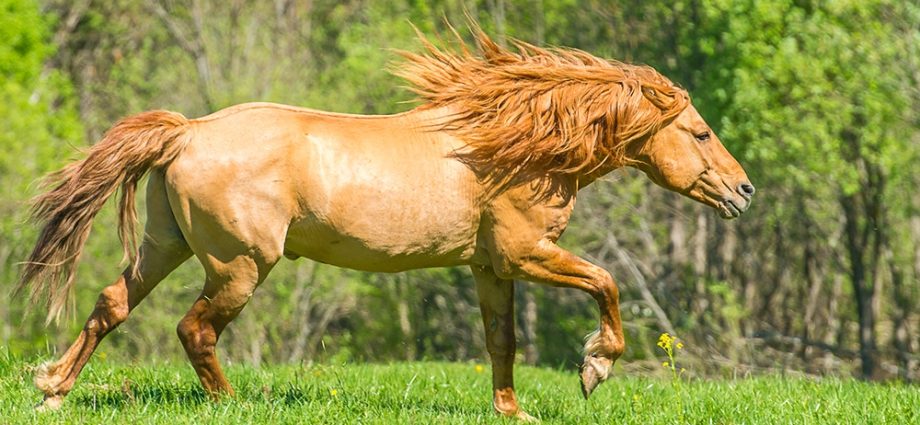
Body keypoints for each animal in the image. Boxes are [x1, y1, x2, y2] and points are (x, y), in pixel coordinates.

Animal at [19, 29, 756, 418]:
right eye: (700, 131)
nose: (743, 191)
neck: (507, 147)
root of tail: (188, 131)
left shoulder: (490, 266)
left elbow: (502, 341)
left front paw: (512, 410)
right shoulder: (527, 252)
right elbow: (606, 282)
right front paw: (594, 368)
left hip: (164, 246)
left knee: (111, 304)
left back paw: (53, 388)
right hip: (240, 266)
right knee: (194, 329)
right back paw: (237, 402)